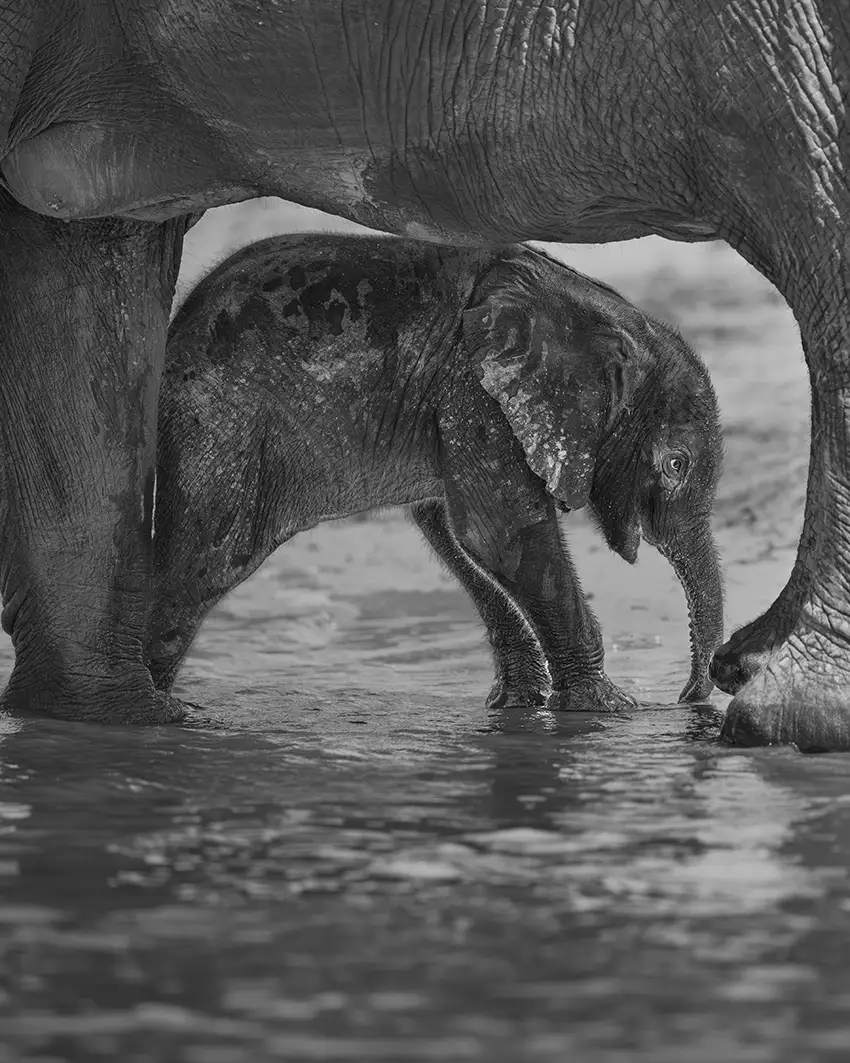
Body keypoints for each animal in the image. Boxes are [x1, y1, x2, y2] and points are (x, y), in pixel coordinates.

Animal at [144, 234, 724, 710]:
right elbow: (501, 533)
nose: (686, 696)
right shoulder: (473, 390)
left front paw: (520, 703)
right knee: (202, 567)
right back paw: (155, 707)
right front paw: (607, 706)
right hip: (220, 433)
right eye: (675, 464)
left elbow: (450, 528)